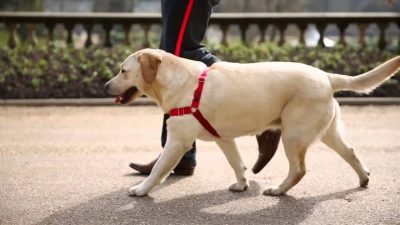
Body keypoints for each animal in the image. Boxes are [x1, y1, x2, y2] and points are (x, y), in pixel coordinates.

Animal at [104, 48, 400, 196]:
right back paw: (363, 178)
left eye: (123, 71)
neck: (183, 81)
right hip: (327, 132)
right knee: (350, 151)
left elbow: (157, 170)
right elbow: (237, 163)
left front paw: (141, 190)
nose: (106, 86)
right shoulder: (223, 138)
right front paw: (242, 183)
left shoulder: (177, 141)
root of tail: (327, 76)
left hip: (294, 135)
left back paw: (278, 190)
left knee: (299, 169)